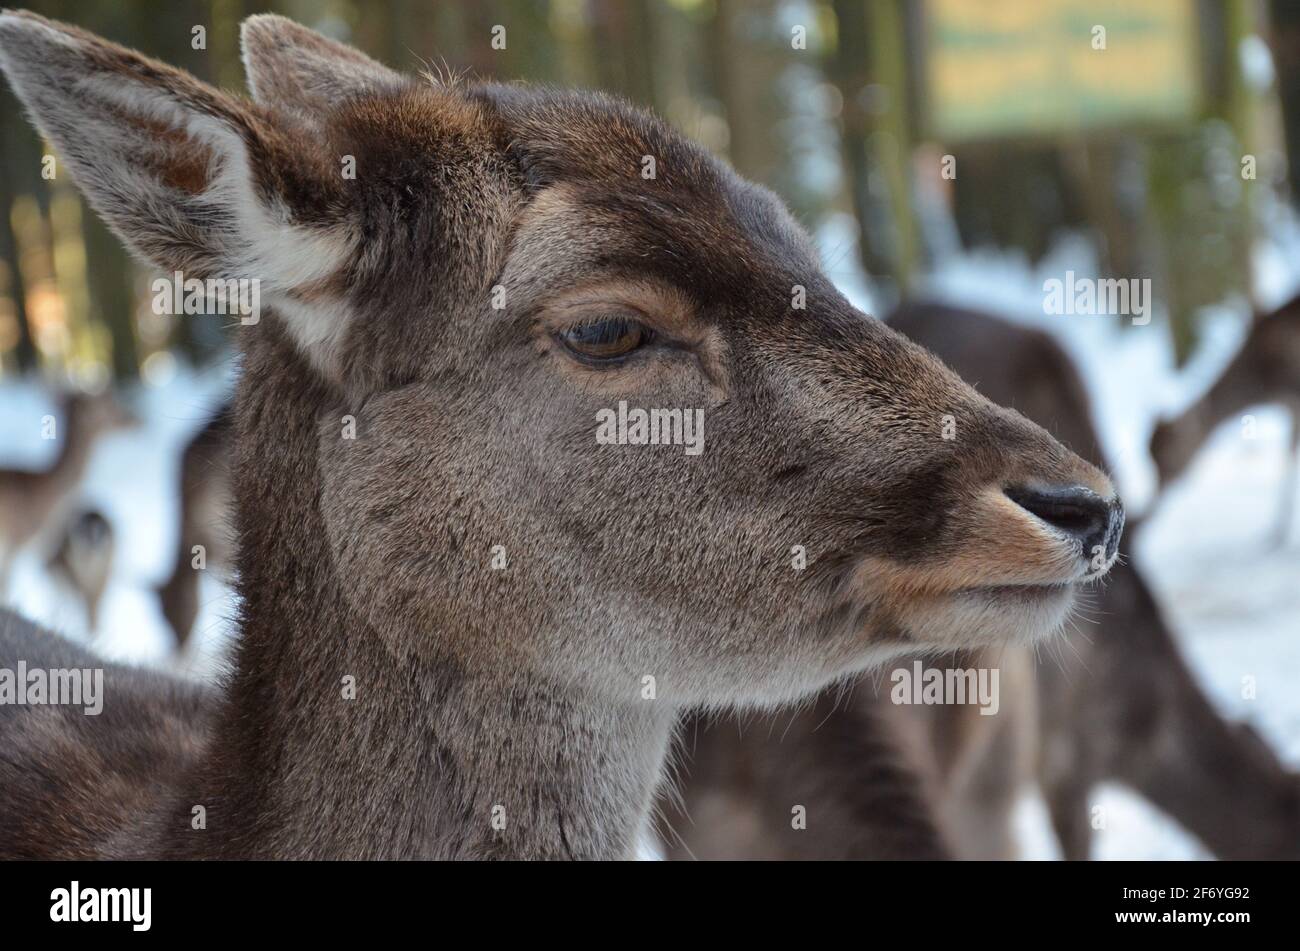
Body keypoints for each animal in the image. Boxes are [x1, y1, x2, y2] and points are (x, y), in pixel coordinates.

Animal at [1149, 293, 1300, 545]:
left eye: (1170, 455)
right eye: (1149, 458)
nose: (1158, 494)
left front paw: (1277, 538)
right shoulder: (1290, 407)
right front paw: (1275, 534)